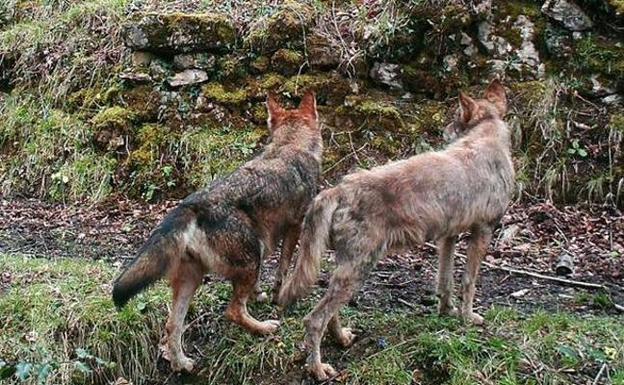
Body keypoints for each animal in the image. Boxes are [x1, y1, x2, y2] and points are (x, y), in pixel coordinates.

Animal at [112, 91, 324, 372]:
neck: (290, 144)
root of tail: (192, 206)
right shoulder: (295, 227)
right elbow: (284, 267)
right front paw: (278, 294)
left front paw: (260, 294)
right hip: (251, 257)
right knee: (232, 311)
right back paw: (264, 328)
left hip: (195, 278)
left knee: (172, 326)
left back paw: (182, 364)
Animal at [276, 79, 512, 380]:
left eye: (455, 117)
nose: (443, 130)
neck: (487, 137)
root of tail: (338, 189)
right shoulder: (482, 232)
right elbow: (468, 282)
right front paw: (468, 318)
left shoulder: (448, 237)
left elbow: (445, 280)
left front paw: (447, 311)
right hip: (359, 269)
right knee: (314, 319)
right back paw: (318, 369)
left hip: (346, 269)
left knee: (329, 312)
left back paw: (341, 339)